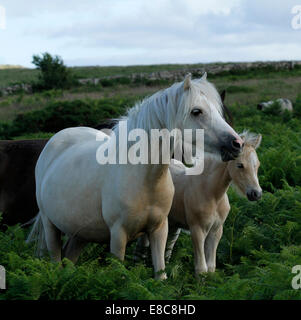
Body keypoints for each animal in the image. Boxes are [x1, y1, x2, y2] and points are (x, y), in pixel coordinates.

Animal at [28, 74, 243, 278]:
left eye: (218, 110)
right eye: (196, 111)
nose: (237, 144)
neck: (145, 179)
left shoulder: (159, 230)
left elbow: (161, 273)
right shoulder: (118, 236)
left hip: (80, 233)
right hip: (50, 226)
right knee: (56, 258)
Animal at [135, 131, 260, 274]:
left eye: (257, 165)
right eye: (240, 165)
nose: (256, 193)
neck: (212, 194)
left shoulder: (216, 231)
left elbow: (211, 267)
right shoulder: (197, 229)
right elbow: (201, 268)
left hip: (173, 223)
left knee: (168, 245)